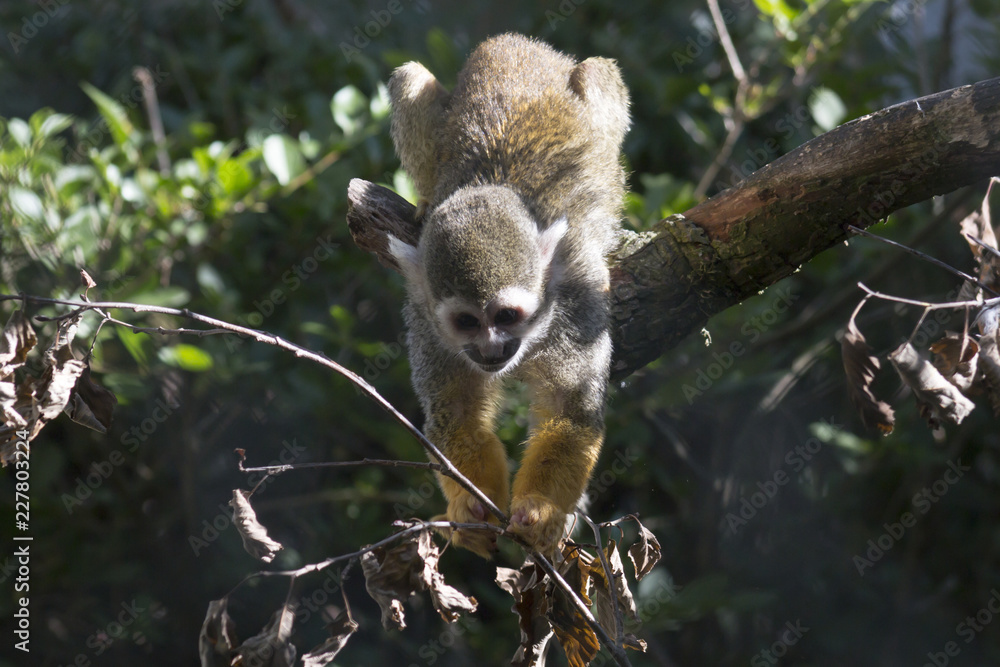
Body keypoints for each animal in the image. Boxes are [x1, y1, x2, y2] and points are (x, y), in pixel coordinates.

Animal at [385, 33, 630, 557]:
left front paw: (540, 510)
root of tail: (517, 42)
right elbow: (454, 415)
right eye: (467, 322)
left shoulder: (578, 300)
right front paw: (469, 508)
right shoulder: (426, 317)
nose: (491, 348)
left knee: (597, 77)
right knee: (410, 78)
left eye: (507, 315)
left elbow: (572, 409)